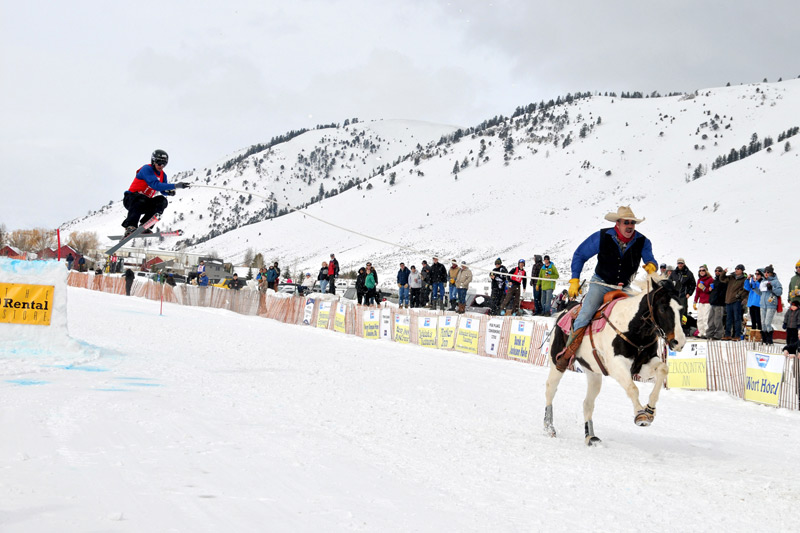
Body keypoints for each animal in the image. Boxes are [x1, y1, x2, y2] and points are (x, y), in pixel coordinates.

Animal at [544, 274, 688, 444]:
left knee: (588, 403)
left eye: (681, 309)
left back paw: (590, 436)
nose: (679, 342)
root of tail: (567, 308)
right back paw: (549, 427)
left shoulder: (643, 365)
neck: (632, 328)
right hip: (557, 362)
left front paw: (650, 409)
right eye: (663, 308)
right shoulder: (616, 366)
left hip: (593, 373)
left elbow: (663, 369)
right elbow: (632, 388)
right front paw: (641, 415)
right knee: (550, 389)